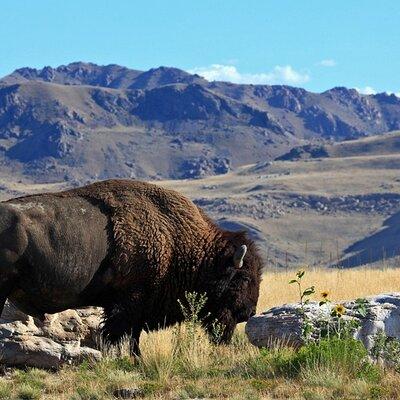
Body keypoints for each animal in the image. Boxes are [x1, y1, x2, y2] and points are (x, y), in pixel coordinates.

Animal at [0, 180, 264, 354]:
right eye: (243, 278)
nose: (248, 312)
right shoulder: (129, 302)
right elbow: (119, 335)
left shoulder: (136, 306)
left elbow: (132, 337)